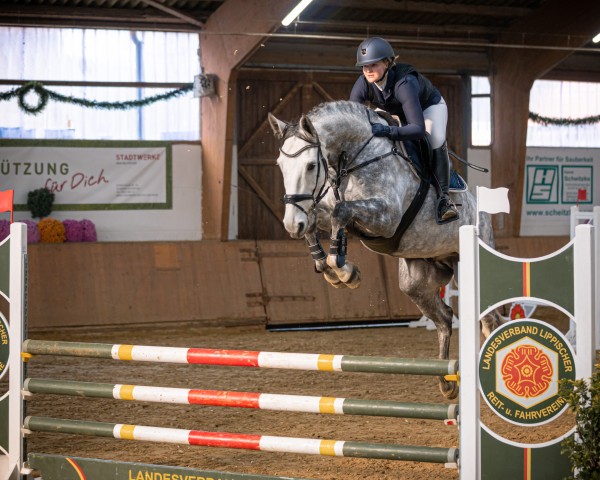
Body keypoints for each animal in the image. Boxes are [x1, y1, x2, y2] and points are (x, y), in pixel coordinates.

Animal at [270, 100, 500, 398]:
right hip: (416, 282)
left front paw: (343, 270)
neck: (356, 158)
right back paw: (447, 383)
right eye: (280, 165)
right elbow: (318, 219)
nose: (290, 225)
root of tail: (482, 213)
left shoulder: (386, 217)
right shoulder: (327, 210)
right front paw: (330, 267)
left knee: (489, 319)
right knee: (444, 318)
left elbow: (342, 212)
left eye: (310, 166)